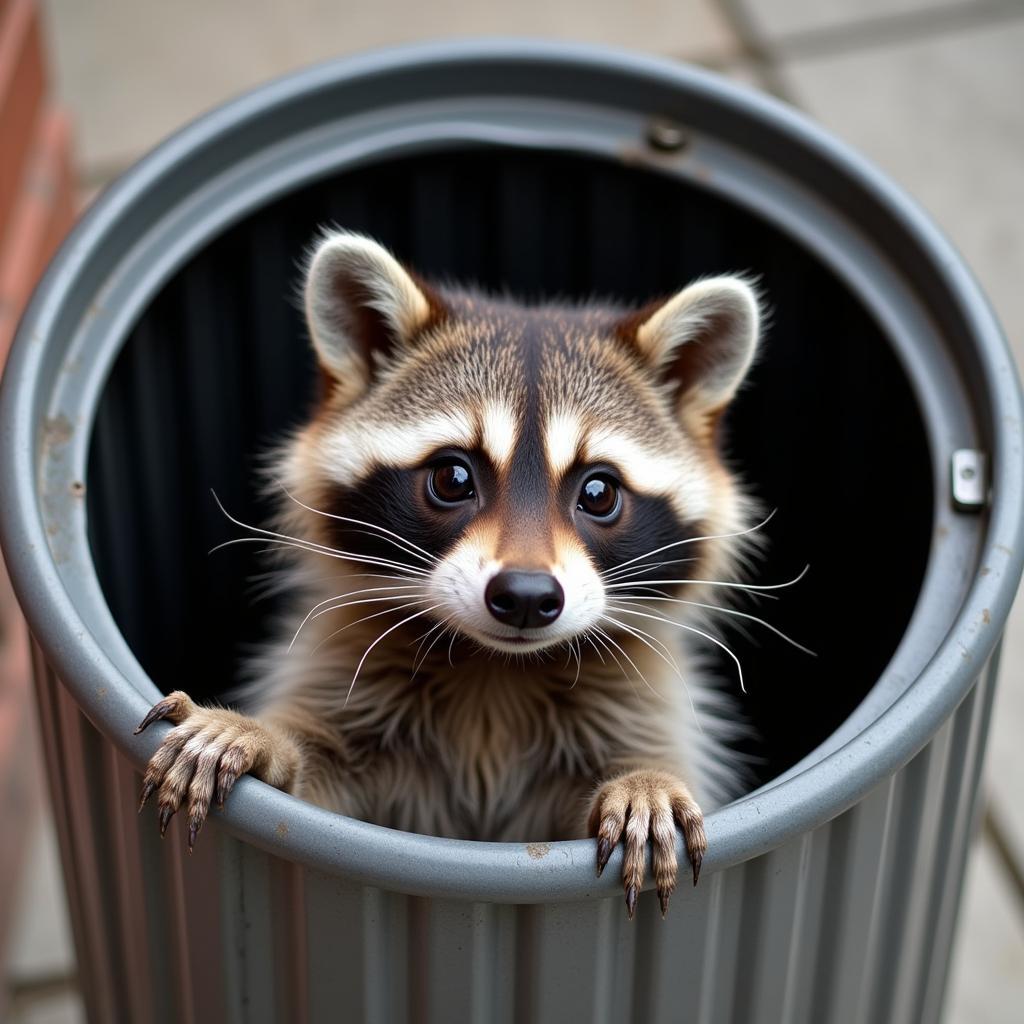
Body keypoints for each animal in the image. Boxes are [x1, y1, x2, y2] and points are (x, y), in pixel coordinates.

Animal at [136, 228, 765, 917]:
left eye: (599, 493)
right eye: (453, 477)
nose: (525, 596)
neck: (497, 671)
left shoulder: (637, 705)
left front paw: (645, 780)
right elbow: (310, 802)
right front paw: (260, 737)